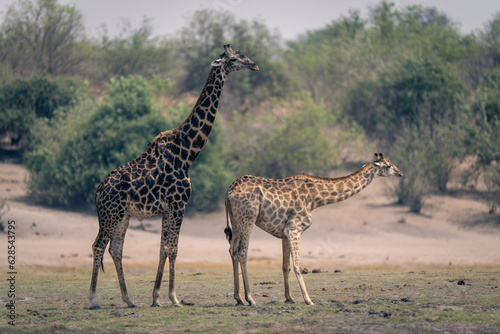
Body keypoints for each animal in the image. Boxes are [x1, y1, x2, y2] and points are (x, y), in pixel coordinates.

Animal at [90, 45, 260, 310]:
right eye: (233, 59)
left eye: (242, 54)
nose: (254, 64)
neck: (187, 154)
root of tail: (98, 191)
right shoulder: (179, 204)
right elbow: (174, 248)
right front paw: (174, 298)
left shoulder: (167, 208)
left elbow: (163, 248)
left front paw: (156, 298)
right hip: (111, 213)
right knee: (98, 245)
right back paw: (93, 299)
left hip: (122, 216)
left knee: (115, 249)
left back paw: (128, 300)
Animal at [225, 153, 404, 306]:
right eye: (388, 165)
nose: (400, 173)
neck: (315, 198)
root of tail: (229, 191)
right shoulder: (294, 228)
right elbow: (297, 264)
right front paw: (308, 300)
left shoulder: (284, 232)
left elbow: (285, 265)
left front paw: (289, 298)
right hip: (248, 218)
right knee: (242, 252)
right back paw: (250, 299)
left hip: (236, 220)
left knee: (232, 250)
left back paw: (238, 298)